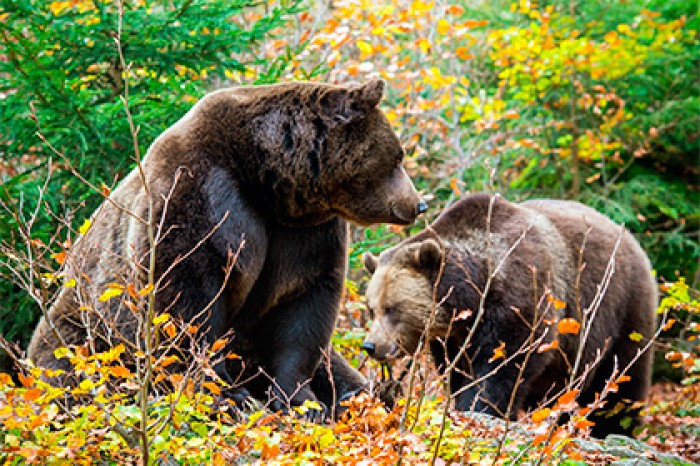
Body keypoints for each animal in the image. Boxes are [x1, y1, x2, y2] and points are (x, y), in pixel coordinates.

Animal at [28, 79, 426, 416]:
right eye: (397, 156)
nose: (418, 203)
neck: (267, 181)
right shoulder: (196, 196)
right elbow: (187, 303)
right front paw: (230, 395)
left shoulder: (304, 233)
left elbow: (302, 307)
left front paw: (301, 401)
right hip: (87, 328)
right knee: (67, 367)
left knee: (340, 369)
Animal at [360, 192, 656, 436]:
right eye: (372, 308)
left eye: (392, 308)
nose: (371, 345)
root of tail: (631, 238)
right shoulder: (456, 336)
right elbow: (459, 370)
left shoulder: (521, 295)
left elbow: (504, 363)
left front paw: (479, 407)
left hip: (623, 306)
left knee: (621, 380)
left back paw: (612, 428)